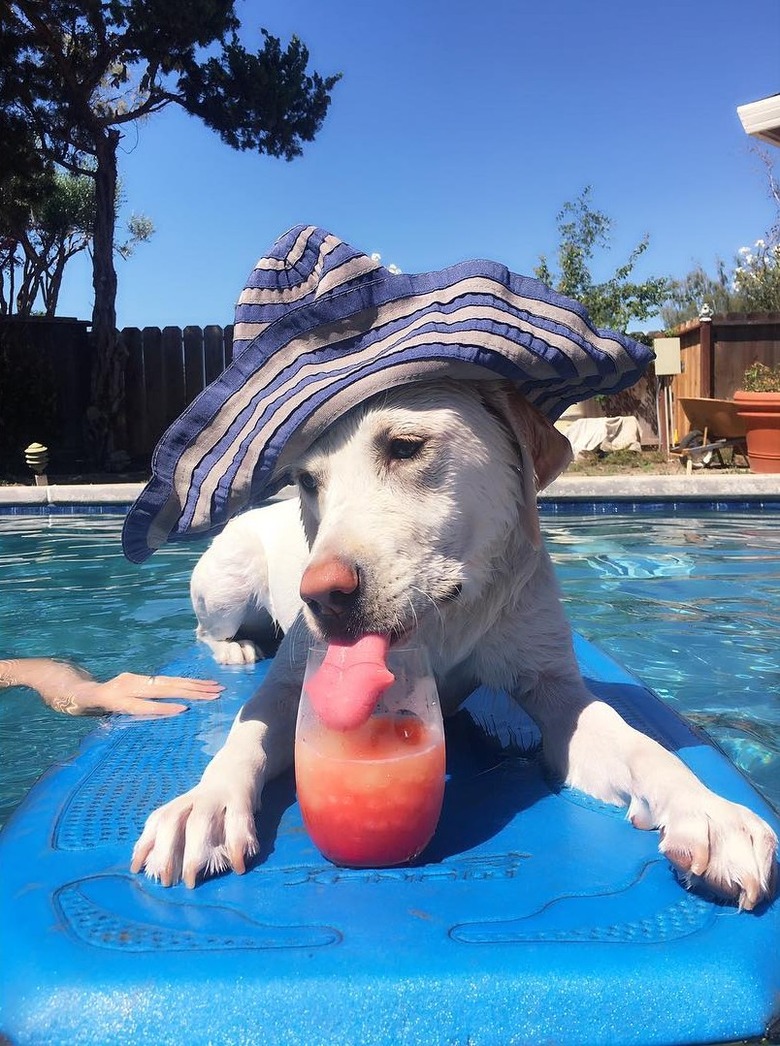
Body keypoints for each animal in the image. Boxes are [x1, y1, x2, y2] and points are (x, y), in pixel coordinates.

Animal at [130, 378, 773, 907]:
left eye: (405, 447)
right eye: (309, 481)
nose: (322, 598)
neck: (443, 619)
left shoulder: (555, 688)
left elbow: (641, 746)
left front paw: (707, 810)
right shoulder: (293, 686)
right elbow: (246, 738)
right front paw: (205, 804)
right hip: (227, 584)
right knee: (209, 629)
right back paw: (235, 648)